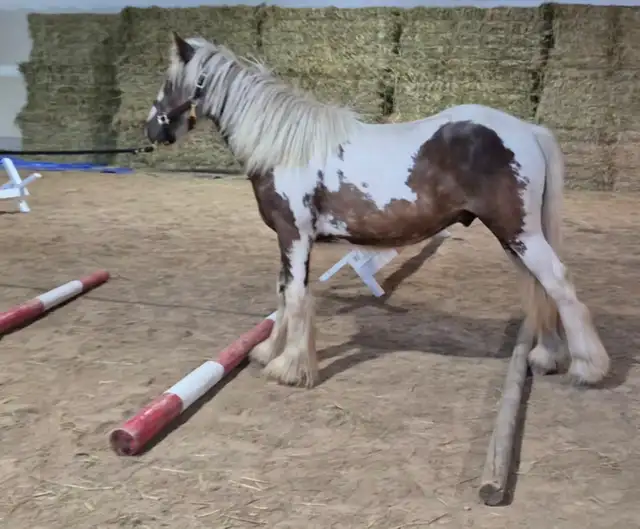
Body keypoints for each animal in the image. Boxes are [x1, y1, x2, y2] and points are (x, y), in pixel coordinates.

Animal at [144, 32, 610, 389]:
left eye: (169, 79)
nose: (151, 130)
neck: (287, 147)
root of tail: (527, 129)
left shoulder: (294, 235)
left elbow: (294, 296)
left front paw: (289, 368)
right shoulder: (287, 238)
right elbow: (281, 293)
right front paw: (267, 352)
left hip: (520, 234)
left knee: (559, 284)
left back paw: (587, 368)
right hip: (516, 237)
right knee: (540, 287)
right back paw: (547, 357)